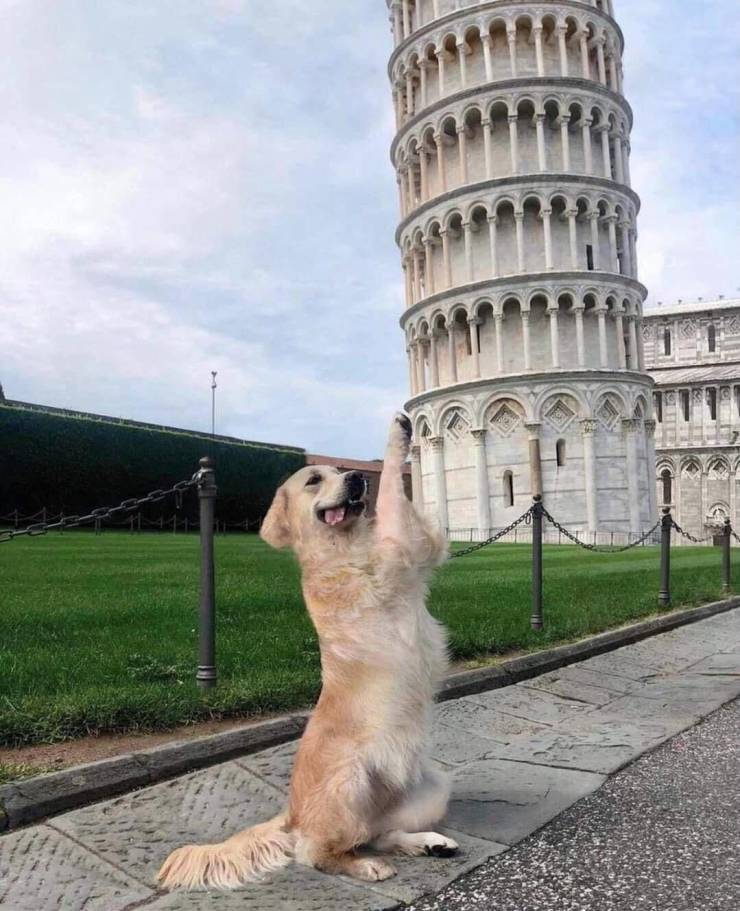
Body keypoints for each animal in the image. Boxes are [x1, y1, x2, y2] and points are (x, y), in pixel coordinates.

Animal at [158, 416, 454, 892]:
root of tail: (292, 815)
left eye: (339, 470)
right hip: (351, 778)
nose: (355, 478)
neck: (339, 546)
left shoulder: (414, 549)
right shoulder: (399, 545)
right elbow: (392, 490)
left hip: (433, 787)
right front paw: (397, 435)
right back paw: (367, 867)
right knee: (317, 852)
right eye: (315, 479)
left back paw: (429, 843)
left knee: (379, 834)